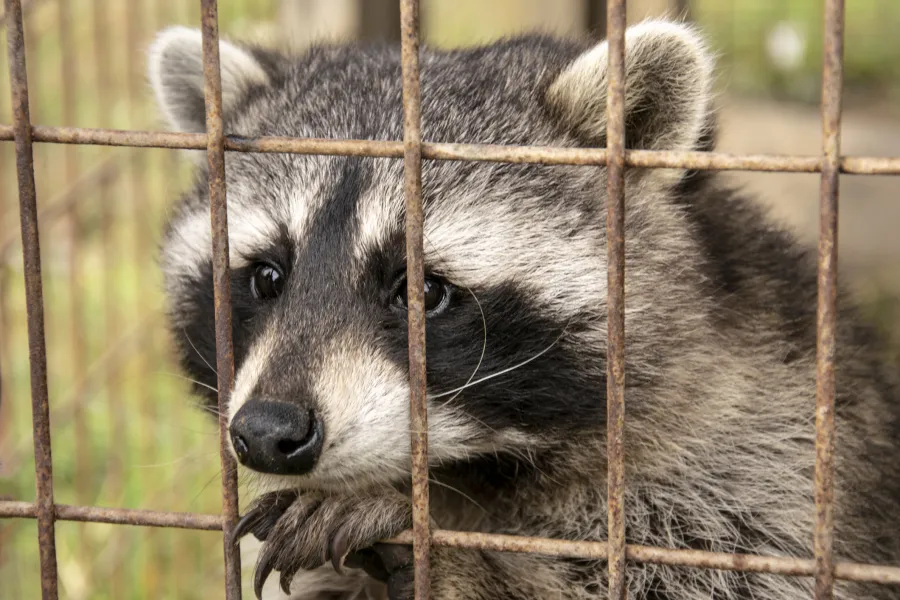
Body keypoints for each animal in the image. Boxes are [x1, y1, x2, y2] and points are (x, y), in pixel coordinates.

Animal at [147, 20, 900, 600]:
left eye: (421, 291)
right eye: (267, 277)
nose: (267, 432)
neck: (490, 466)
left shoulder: (765, 462)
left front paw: (445, 554)